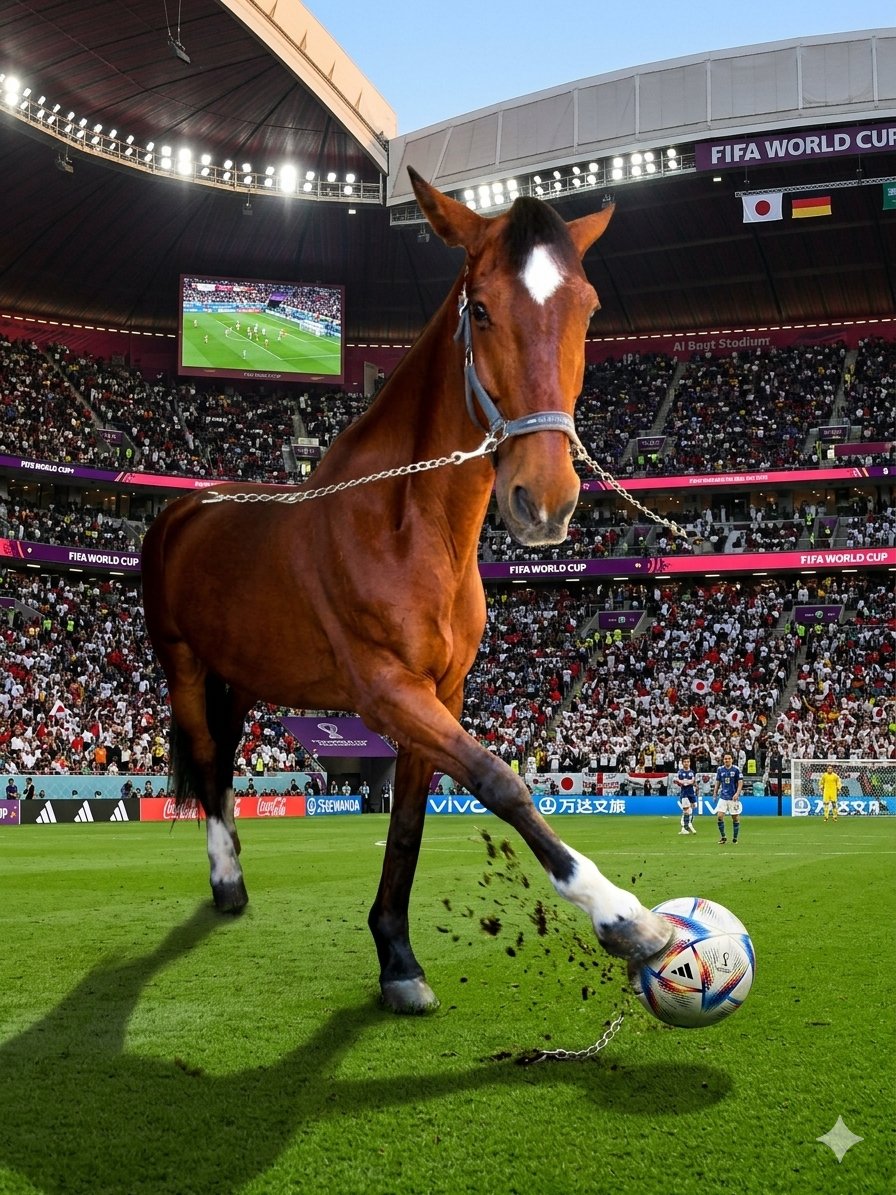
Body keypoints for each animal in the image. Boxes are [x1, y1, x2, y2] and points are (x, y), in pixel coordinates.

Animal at [141, 167, 672, 1013]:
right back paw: (226, 879)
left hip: (245, 675)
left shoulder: (441, 690)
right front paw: (624, 915)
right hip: (183, 662)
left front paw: (395, 952)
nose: (545, 500)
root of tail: (186, 508)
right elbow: (502, 782)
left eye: (586, 308)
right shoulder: (387, 689)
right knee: (206, 754)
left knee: (221, 754)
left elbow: (412, 819)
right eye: (480, 307)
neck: (406, 524)